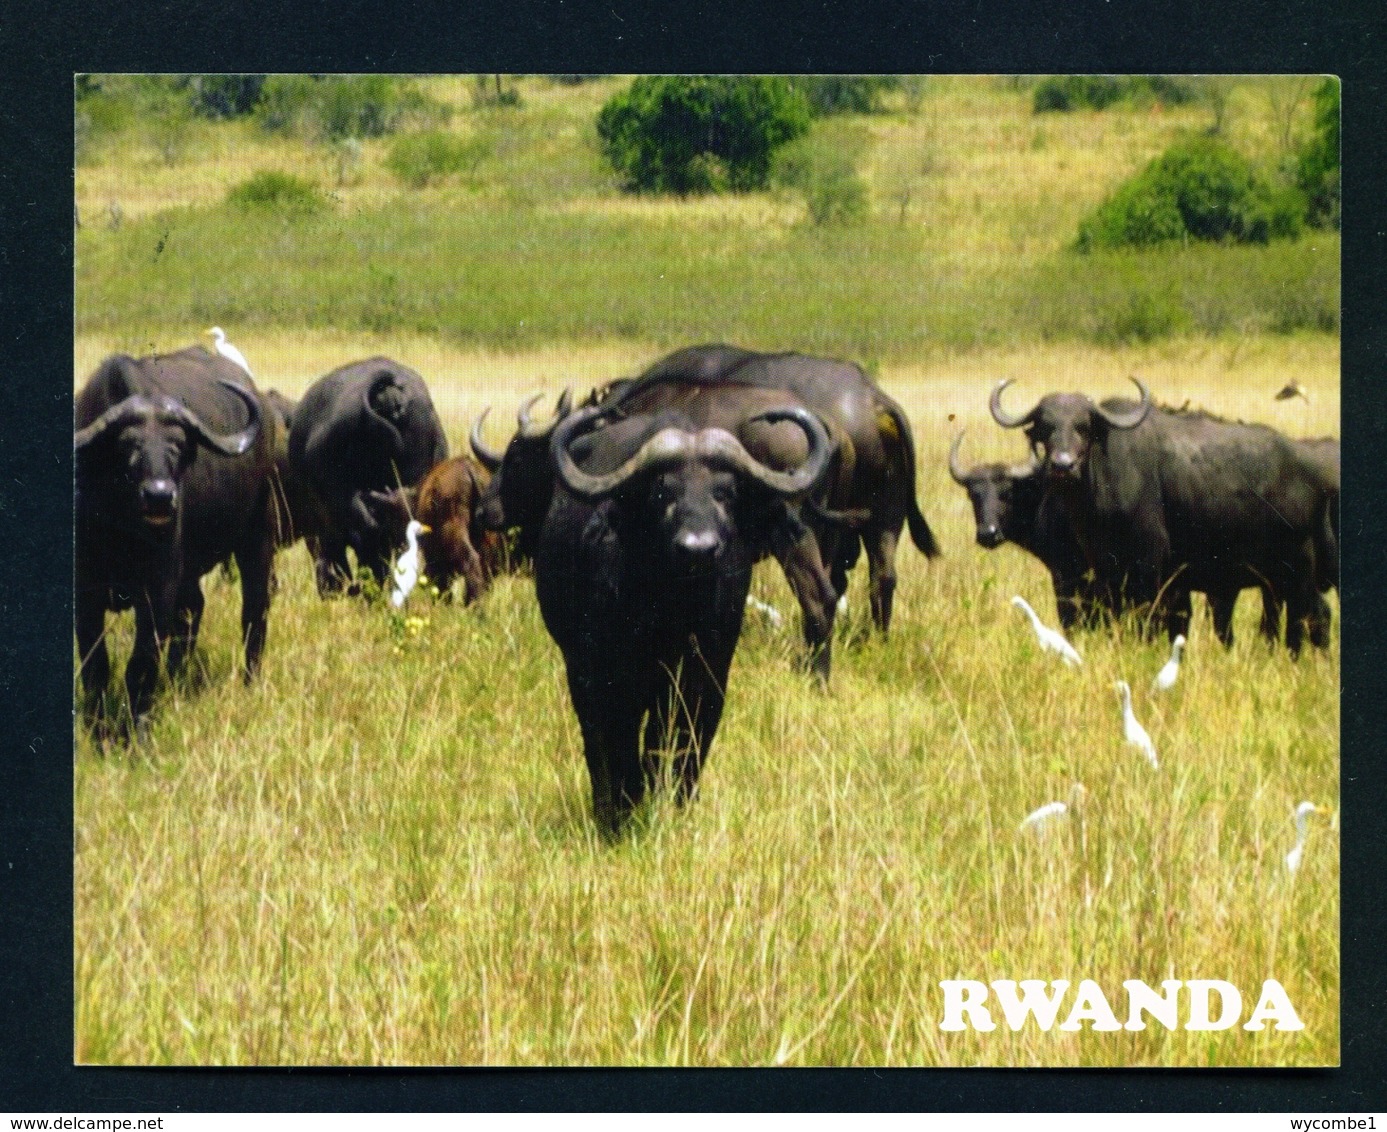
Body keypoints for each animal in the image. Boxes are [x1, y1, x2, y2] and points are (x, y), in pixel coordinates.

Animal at [73, 346, 273, 732]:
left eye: (178, 445)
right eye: (127, 445)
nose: (160, 496)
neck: (120, 528)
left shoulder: (158, 587)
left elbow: (141, 665)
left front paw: (138, 731)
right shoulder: (84, 591)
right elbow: (96, 666)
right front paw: (97, 728)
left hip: (257, 536)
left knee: (254, 609)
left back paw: (250, 680)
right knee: (193, 609)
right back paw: (178, 677)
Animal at [535, 402, 826, 837]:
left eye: (726, 493)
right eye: (662, 493)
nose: (698, 548)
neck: (673, 611)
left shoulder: (707, 671)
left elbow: (686, 740)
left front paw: (677, 805)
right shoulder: (608, 672)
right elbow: (617, 744)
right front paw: (623, 813)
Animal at [993, 377, 1337, 654]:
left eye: (1083, 427)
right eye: (1046, 427)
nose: (1063, 465)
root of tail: (1308, 467)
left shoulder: (1149, 569)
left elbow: (1147, 620)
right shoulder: (1105, 571)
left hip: (1297, 570)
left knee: (1313, 615)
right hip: (1277, 577)